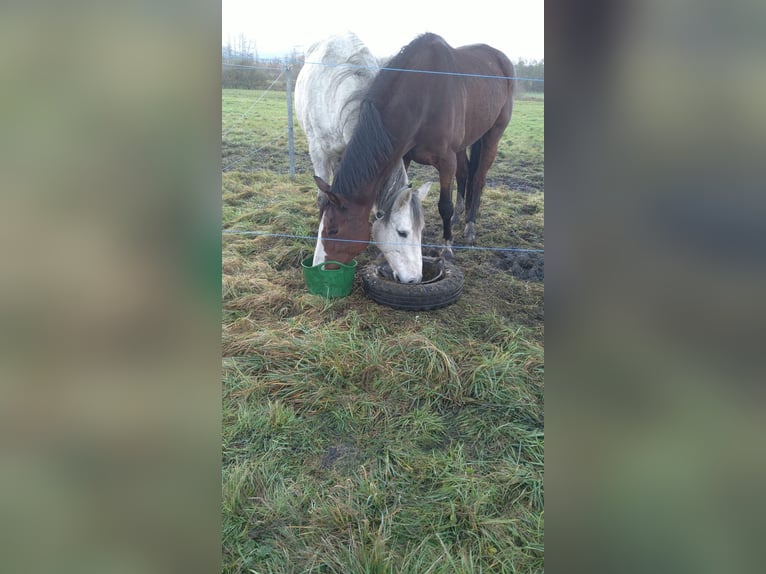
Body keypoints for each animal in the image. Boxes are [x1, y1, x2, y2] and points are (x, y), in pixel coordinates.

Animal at [316, 32, 514, 267]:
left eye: (333, 229)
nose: (318, 265)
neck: (423, 97)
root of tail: (501, 58)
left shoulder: (446, 161)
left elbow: (444, 205)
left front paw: (446, 247)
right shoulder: (404, 157)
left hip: (493, 135)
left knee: (478, 179)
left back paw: (470, 226)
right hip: (463, 144)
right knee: (464, 174)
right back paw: (458, 216)